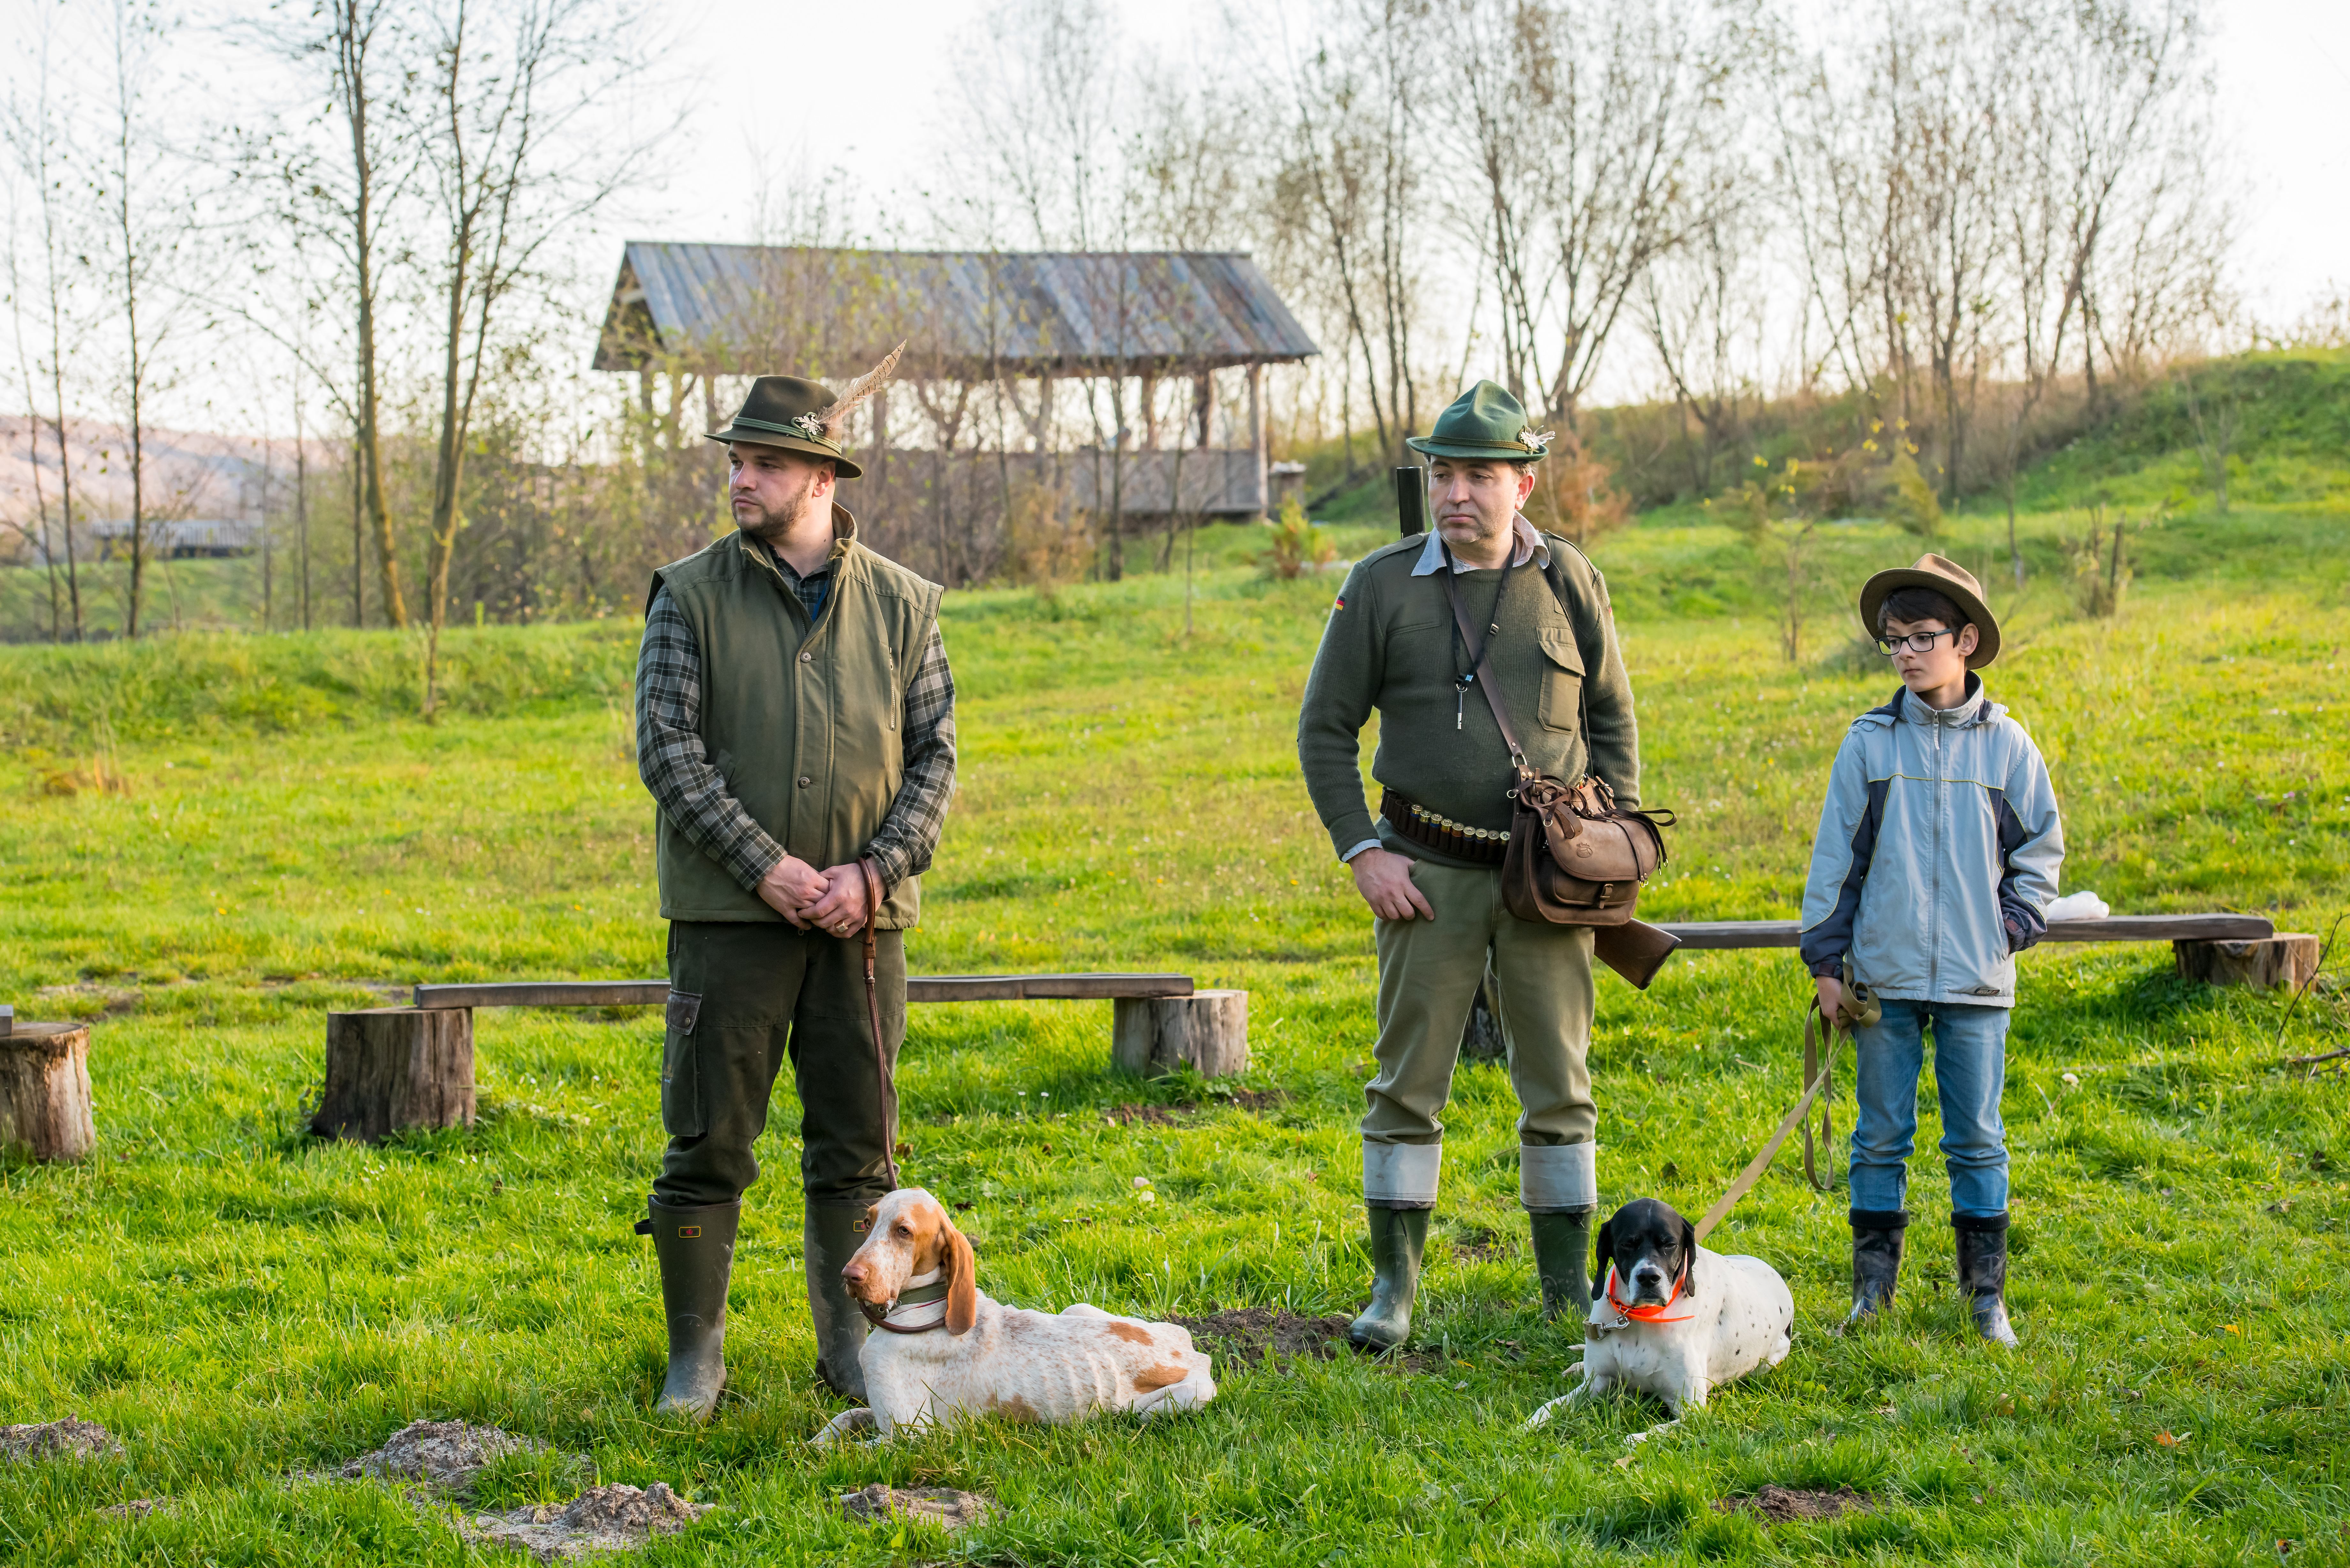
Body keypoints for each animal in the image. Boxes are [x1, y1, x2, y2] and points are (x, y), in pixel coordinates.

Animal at [813, 1189, 1222, 1448]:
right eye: (867, 1223)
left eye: (904, 1231)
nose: (850, 1275)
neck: (918, 1310)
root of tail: (1193, 1353)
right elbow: (842, 1420)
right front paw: (817, 1439)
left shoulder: (906, 1436)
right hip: (1078, 1310)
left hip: (1170, 1403)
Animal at [1513, 1203, 1786, 1448]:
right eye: (1627, 1244)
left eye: (1669, 1244)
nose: (1648, 1277)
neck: (1641, 1318)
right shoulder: (1597, 1382)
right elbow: (1547, 1407)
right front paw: (1527, 1426)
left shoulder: (1692, 1412)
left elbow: (1647, 1435)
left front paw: (1630, 1439)